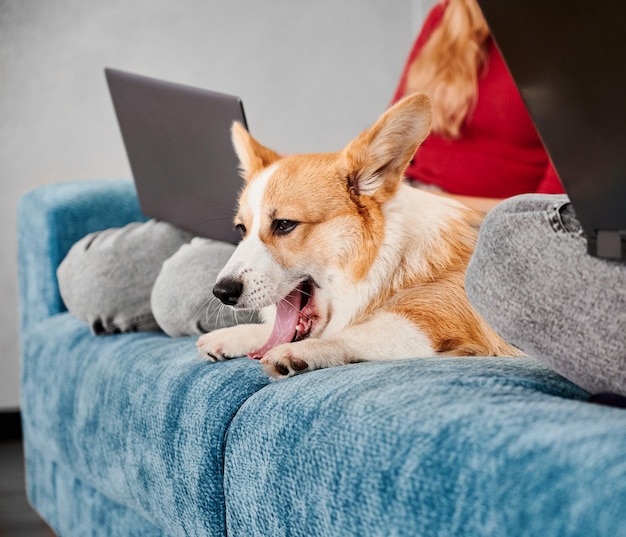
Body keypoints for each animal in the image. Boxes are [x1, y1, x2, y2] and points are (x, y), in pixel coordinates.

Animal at [196, 93, 520, 376]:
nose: (221, 293)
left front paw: (302, 352)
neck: (391, 260)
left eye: (285, 224)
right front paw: (233, 335)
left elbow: (351, 333)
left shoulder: (433, 320)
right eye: (242, 229)